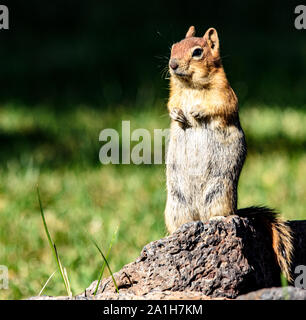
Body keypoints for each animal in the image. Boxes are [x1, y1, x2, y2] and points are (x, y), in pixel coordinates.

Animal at [165, 26, 294, 282]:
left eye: (197, 52)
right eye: (173, 46)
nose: (172, 64)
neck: (191, 86)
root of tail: (199, 215)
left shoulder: (225, 94)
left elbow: (218, 107)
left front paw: (196, 111)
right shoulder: (174, 95)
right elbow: (171, 105)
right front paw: (178, 114)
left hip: (219, 193)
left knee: (220, 215)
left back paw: (217, 219)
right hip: (176, 205)